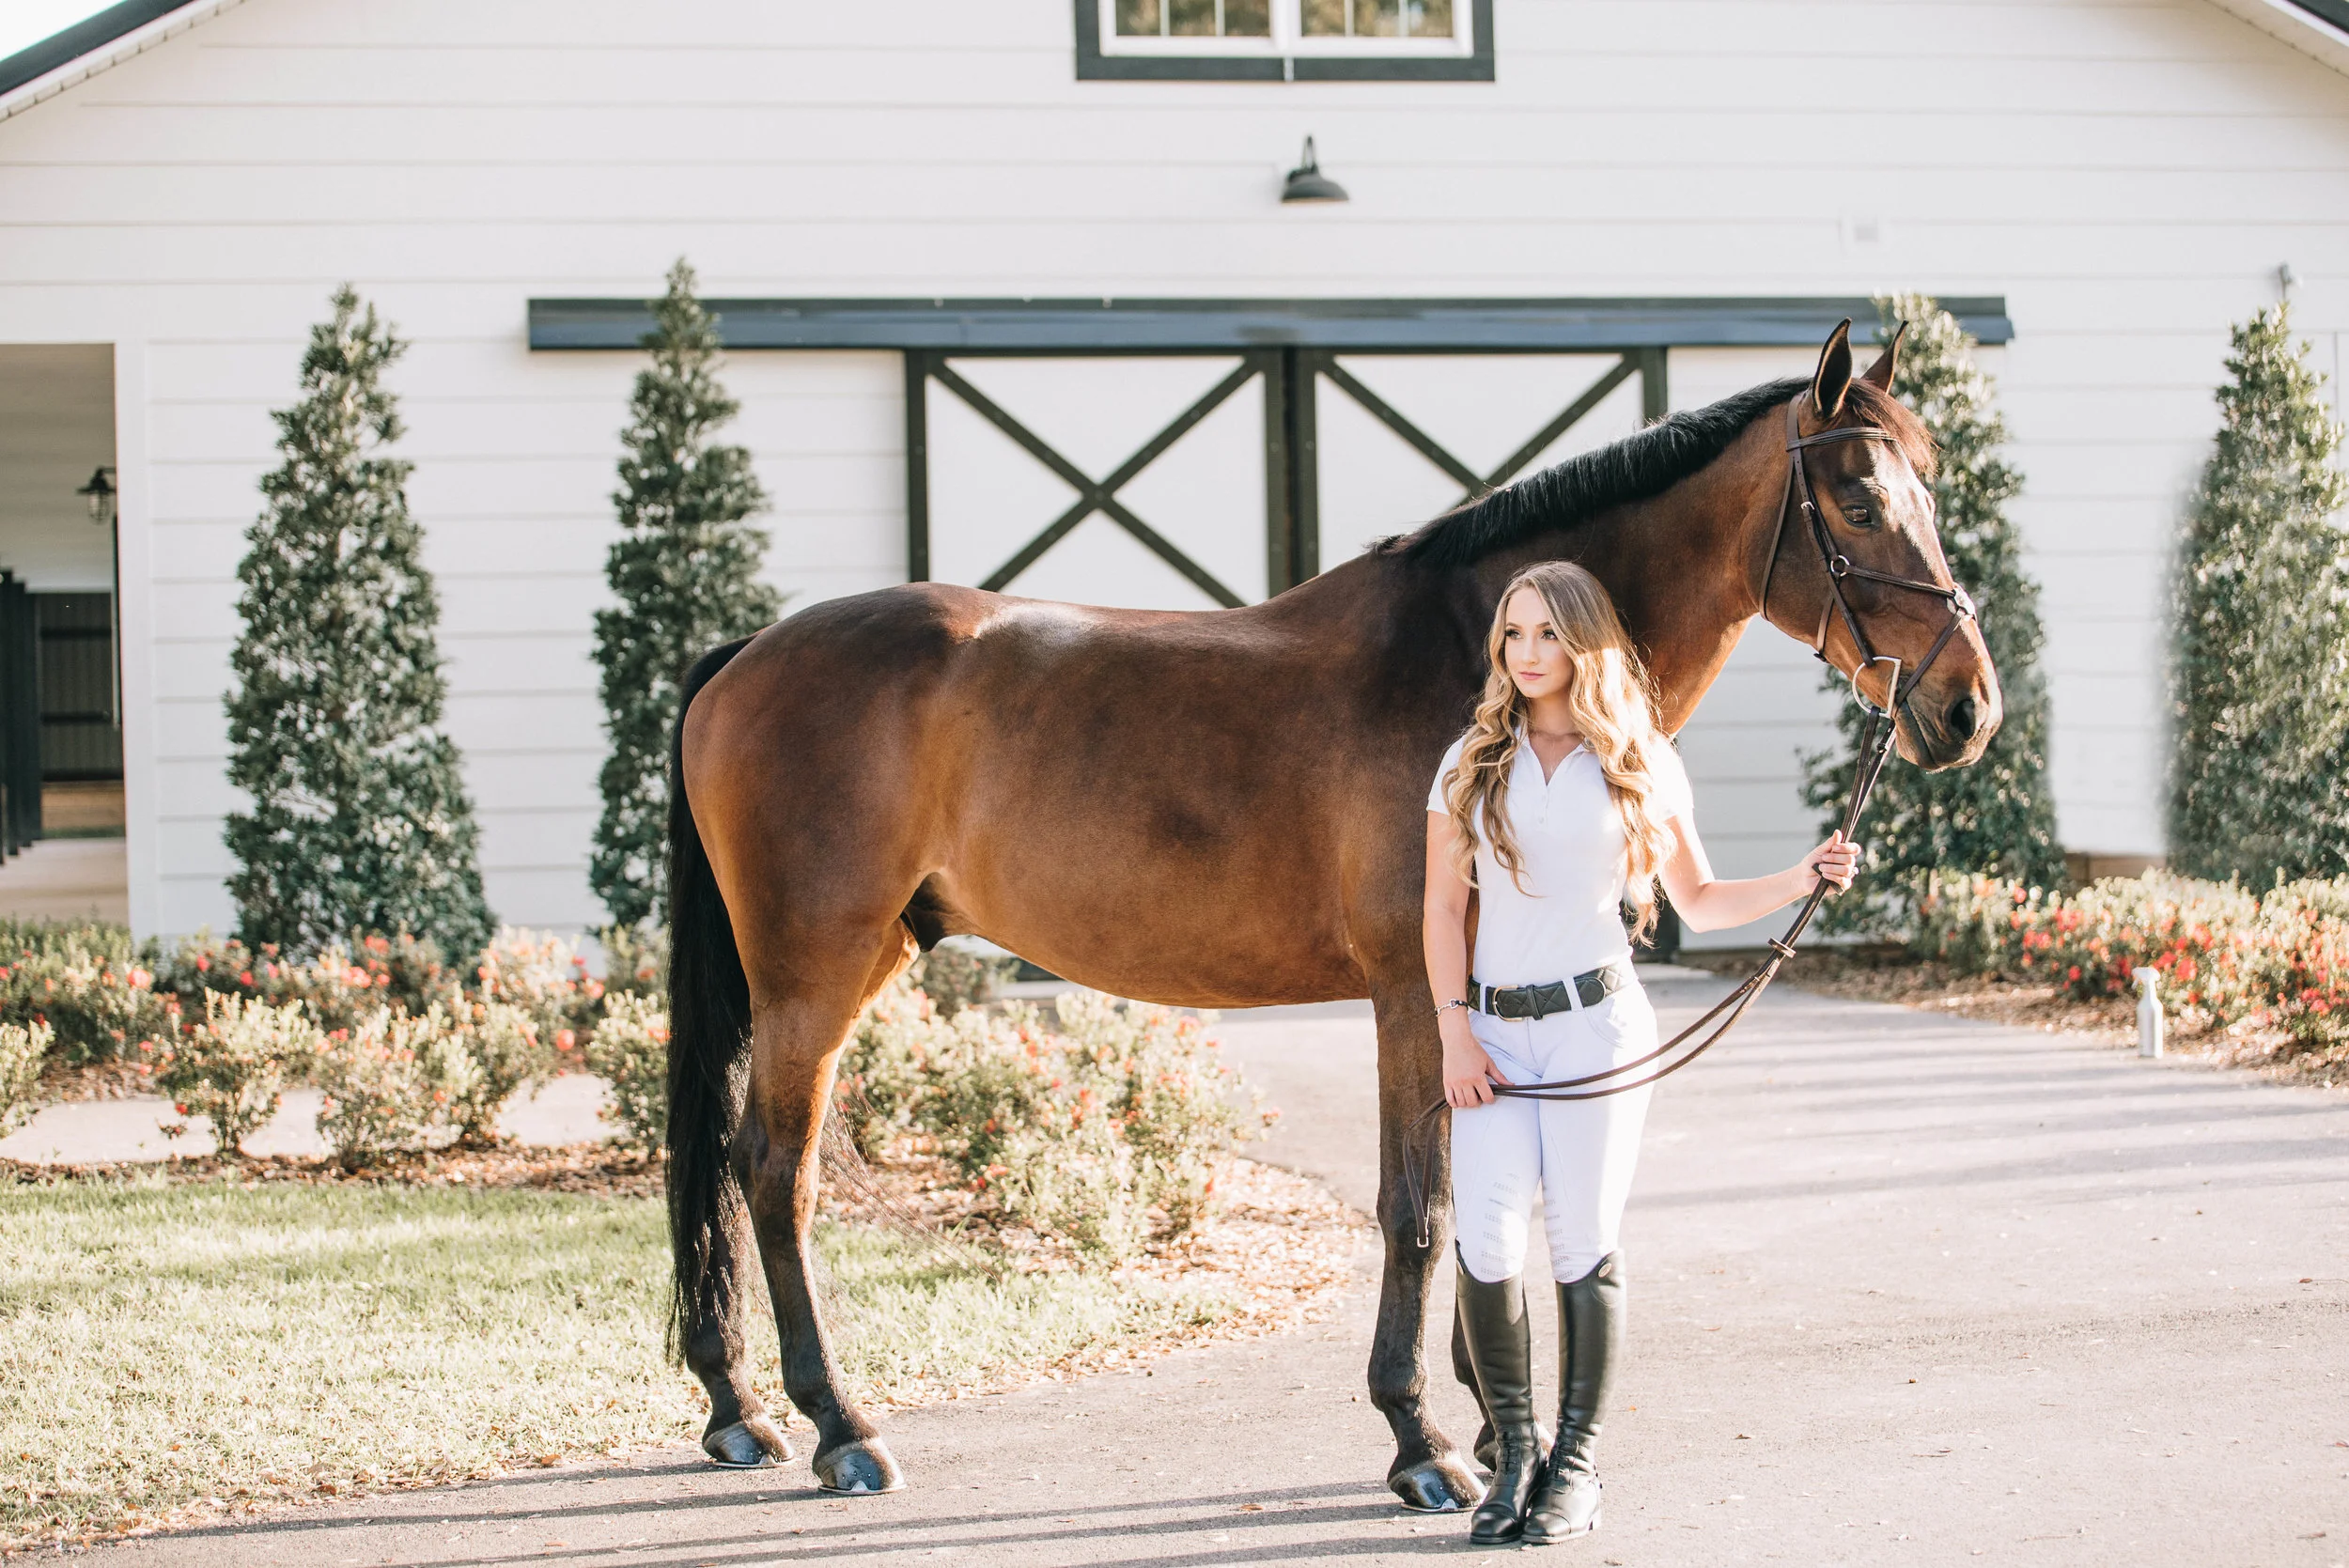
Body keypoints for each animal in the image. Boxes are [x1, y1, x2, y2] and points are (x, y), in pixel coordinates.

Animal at [662, 321, 2002, 1504]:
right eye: (1859, 504)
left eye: (1926, 491)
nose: (1966, 708)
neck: (1477, 661)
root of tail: (747, 653)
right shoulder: (1416, 992)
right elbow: (1421, 1209)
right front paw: (1423, 1442)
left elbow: (1482, 1200)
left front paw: (1485, 1416)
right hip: (813, 975)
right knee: (773, 1170)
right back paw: (841, 1426)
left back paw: (739, 1409)